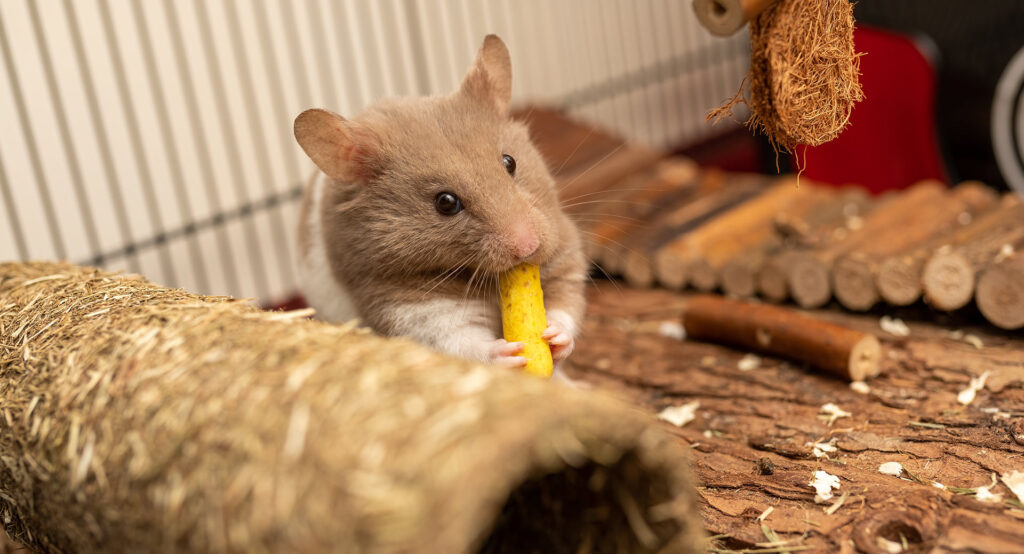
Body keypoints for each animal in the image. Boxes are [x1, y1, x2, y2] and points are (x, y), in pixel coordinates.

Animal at [293, 35, 587, 372]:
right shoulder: (409, 307)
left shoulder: (564, 251)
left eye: (510, 162)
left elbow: (566, 304)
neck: (477, 274)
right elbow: (460, 340)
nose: (528, 247)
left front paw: (554, 337)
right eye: (446, 203)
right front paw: (510, 354)